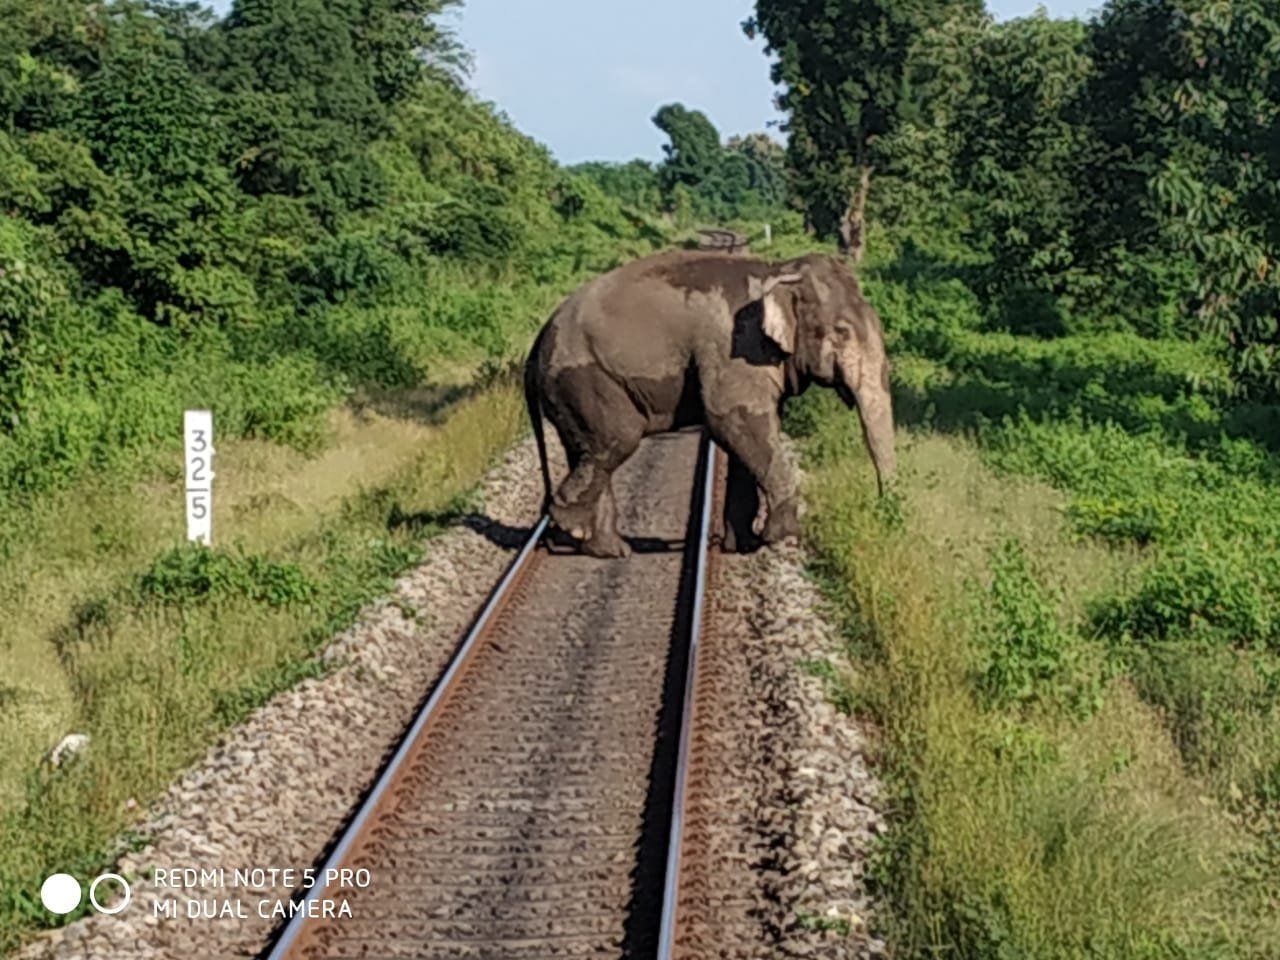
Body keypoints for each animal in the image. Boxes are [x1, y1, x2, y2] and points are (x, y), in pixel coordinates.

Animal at [524, 252, 896, 560]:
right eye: (842, 331)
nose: (882, 512)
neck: (777, 270)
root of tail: (537, 339)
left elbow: (751, 433)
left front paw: (744, 544)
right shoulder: (735, 347)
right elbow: (733, 421)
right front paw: (782, 538)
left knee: (590, 450)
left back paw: (608, 550)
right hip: (584, 377)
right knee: (617, 440)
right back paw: (572, 526)